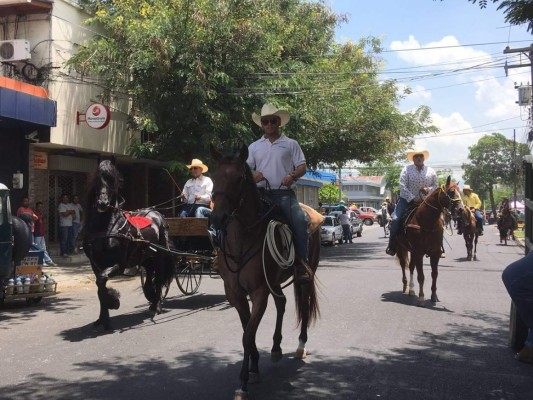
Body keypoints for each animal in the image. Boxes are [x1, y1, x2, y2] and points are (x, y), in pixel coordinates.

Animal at [83, 160, 174, 332]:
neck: (106, 227)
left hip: (159, 256)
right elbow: (100, 288)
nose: (102, 204)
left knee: (159, 279)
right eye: (97, 180)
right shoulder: (95, 264)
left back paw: (156, 306)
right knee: (149, 278)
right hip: (146, 257)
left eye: (112, 181)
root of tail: (157, 214)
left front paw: (113, 302)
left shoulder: (119, 264)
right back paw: (151, 298)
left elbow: (102, 281)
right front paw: (102, 318)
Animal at [209, 146, 320, 400]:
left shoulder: (259, 292)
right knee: (282, 302)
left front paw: (242, 382)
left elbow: (248, 334)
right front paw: (254, 368)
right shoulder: (235, 293)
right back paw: (277, 348)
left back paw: (300, 346)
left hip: (305, 275)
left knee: (304, 303)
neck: (242, 240)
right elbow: (246, 330)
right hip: (275, 281)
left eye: (239, 178)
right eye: (214, 177)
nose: (218, 218)